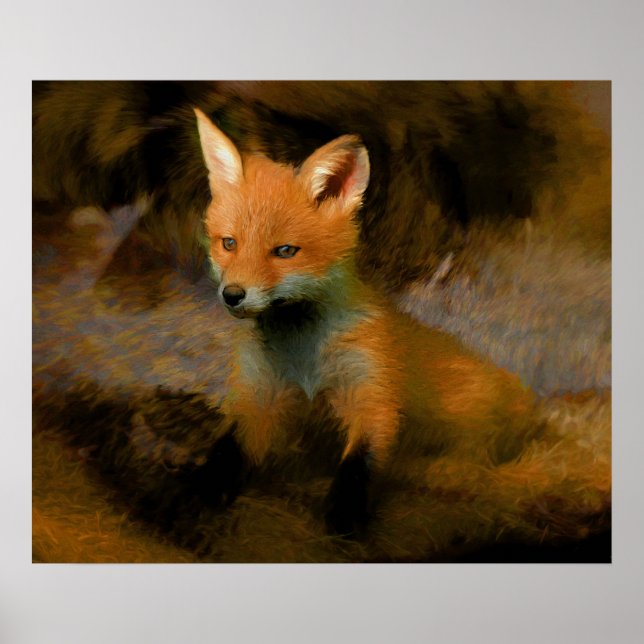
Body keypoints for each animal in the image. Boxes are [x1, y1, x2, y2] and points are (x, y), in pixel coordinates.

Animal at [193, 108, 537, 535]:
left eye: (285, 251)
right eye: (229, 244)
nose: (233, 295)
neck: (304, 357)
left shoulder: (372, 392)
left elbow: (360, 462)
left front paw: (344, 516)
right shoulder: (259, 395)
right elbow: (230, 449)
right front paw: (204, 489)